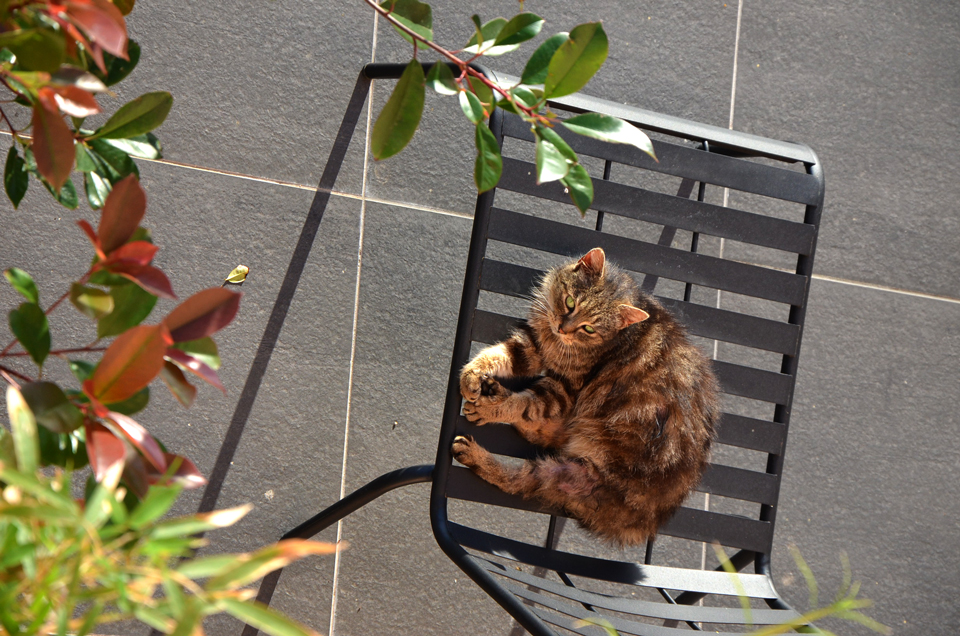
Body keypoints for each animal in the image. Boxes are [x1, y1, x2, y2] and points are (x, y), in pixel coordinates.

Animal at [454, 248, 716, 548]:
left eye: (589, 328)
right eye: (570, 303)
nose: (562, 327)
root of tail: (645, 524)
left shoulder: (564, 389)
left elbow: (524, 404)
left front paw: (493, 409)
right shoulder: (531, 347)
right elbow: (496, 355)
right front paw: (472, 376)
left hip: (571, 475)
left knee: (519, 479)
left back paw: (476, 447)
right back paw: (494, 393)